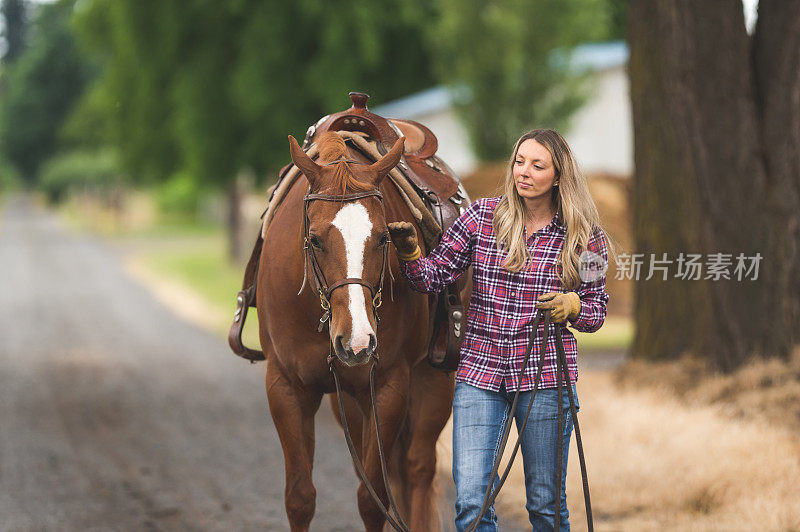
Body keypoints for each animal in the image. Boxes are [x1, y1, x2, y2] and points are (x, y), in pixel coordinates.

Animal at [256, 132, 456, 532]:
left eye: (383, 238)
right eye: (315, 239)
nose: (357, 341)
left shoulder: (388, 388)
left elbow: (373, 500)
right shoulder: (285, 386)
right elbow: (299, 498)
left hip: (433, 382)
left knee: (418, 470)